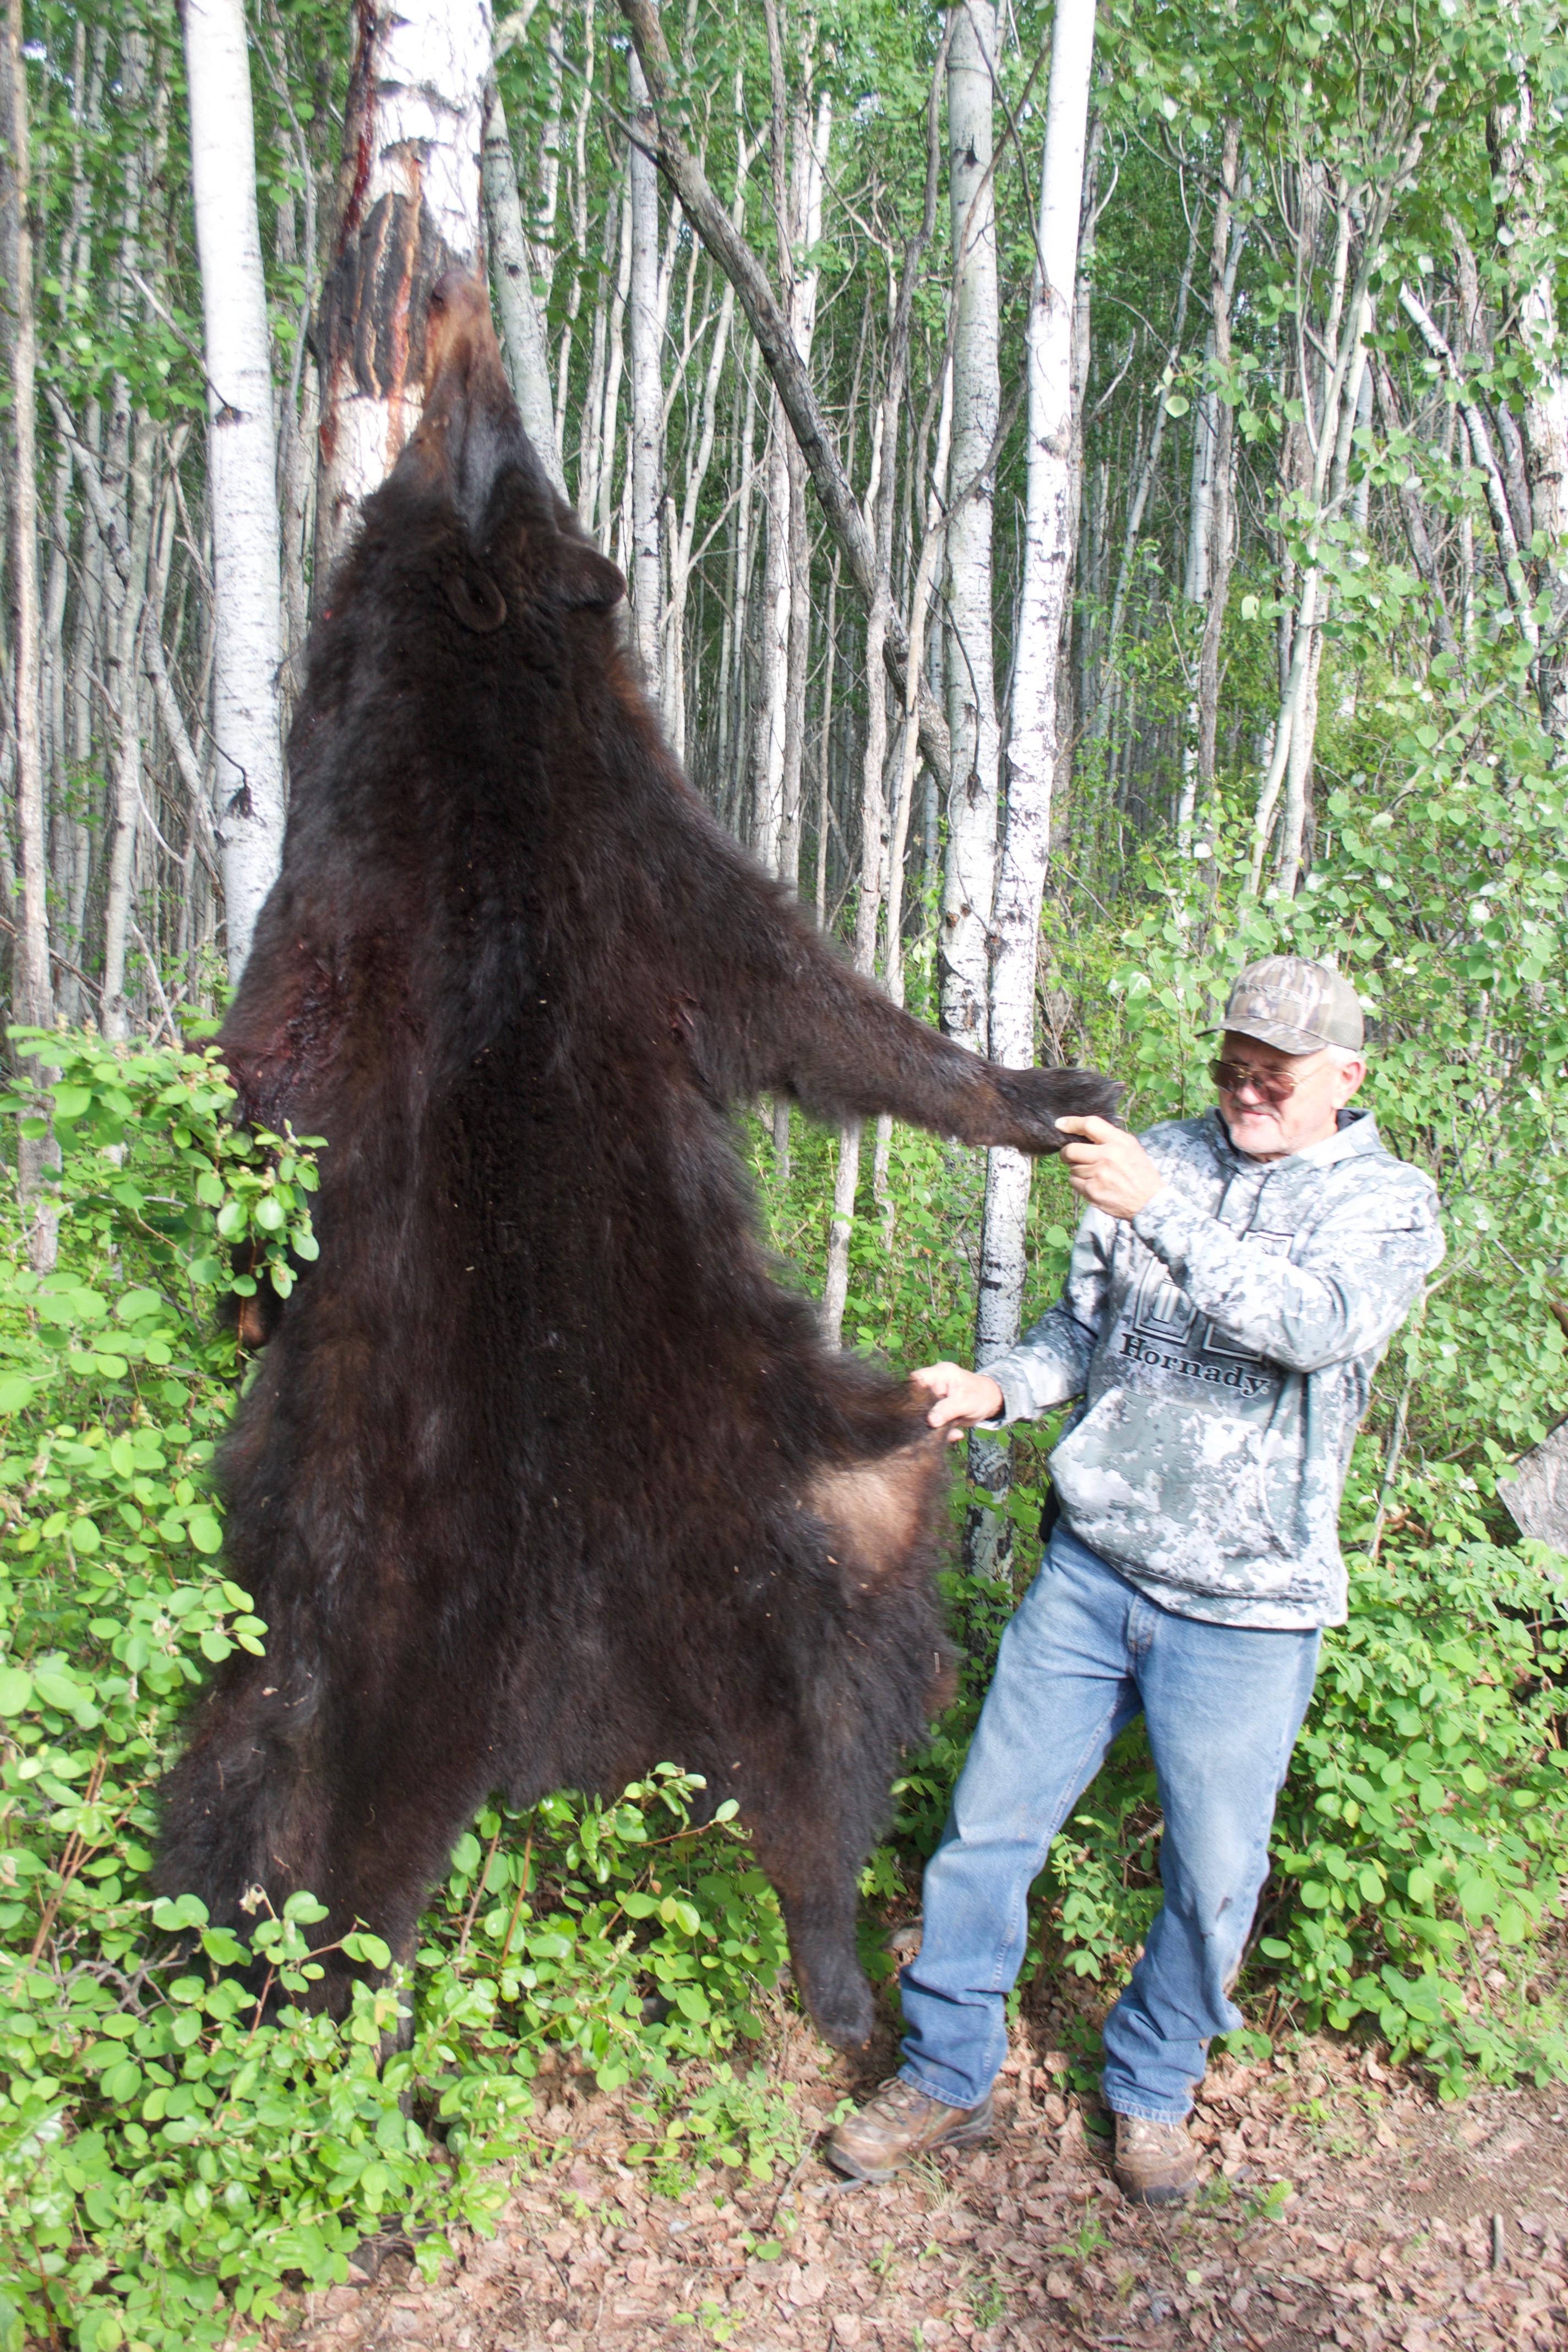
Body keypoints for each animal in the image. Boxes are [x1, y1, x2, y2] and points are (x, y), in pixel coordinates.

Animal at [156, 273, 1121, 2052]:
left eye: (486, 439)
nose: (458, 309)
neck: (486, 714)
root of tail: (533, 1694)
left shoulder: (485, 870)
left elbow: (817, 1006)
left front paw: (1036, 1082)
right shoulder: (592, 868)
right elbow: (809, 1000)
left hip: (768, 1541)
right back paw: (841, 1987)